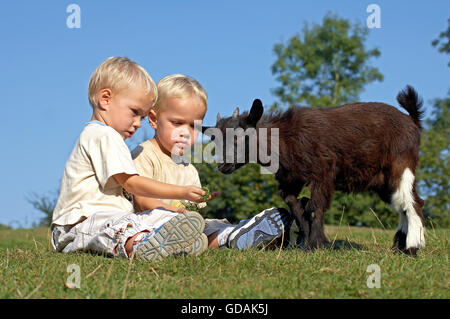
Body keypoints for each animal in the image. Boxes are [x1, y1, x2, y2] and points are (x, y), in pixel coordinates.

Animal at [202, 86, 428, 256]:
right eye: (213, 138)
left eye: (239, 136)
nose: (223, 166)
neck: (285, 138)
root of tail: (412, 121)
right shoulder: (290, 179)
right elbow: (296, 207)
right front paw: (304, 241)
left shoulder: (323, 174)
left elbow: (314, 207)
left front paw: (315, 244)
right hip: (383, 180)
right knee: (401, 205)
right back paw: (399, 246)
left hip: (402, 164)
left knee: (413, 203)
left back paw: (412, 247)